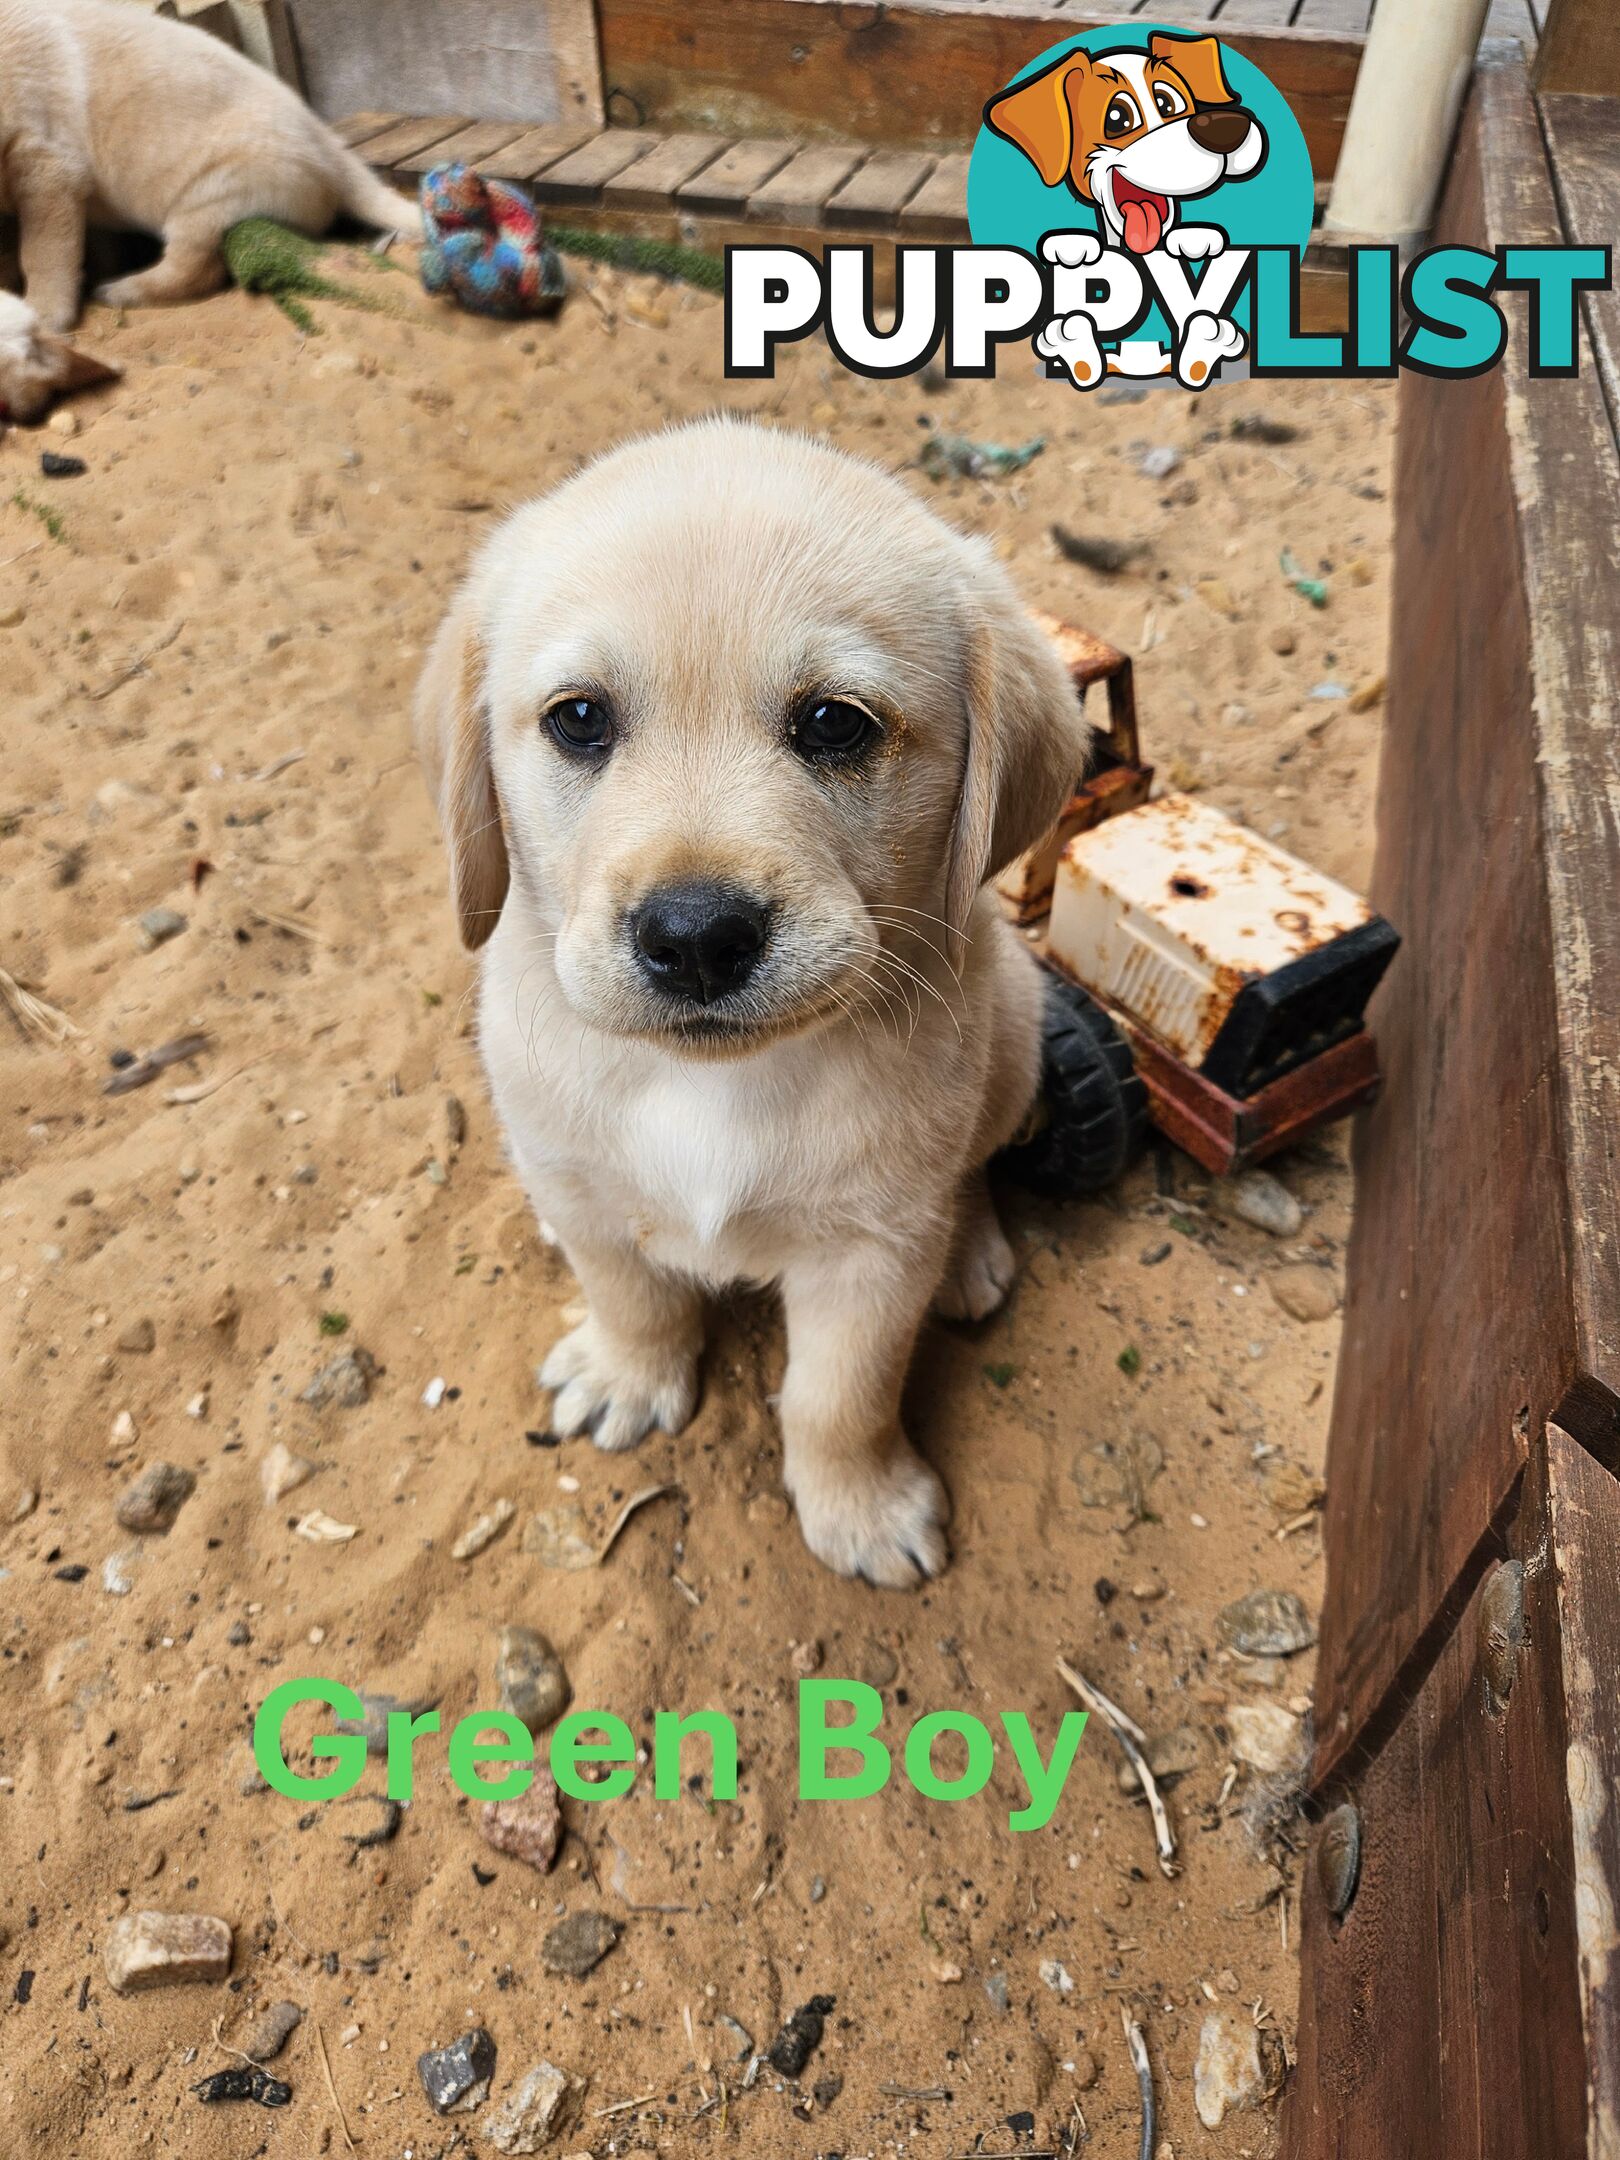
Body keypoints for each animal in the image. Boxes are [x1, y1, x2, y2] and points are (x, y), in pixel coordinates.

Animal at [0, 0, 425, 330]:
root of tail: (331, 149)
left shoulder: (44, 152)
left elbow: (43, 242)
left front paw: (41, 313)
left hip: (219, 182)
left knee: (194, 262)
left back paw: (124, 288)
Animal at [414, 421, 1092, 1589]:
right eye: (579, 720)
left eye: (835, 724)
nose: (694, 936)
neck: (709, 1087)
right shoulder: (578, 1183)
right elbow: (630, 1293)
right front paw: (628, 1375)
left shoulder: (872, 1255)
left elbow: (841, 1397)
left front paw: (862, 1507)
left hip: (1013, 1038)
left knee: (974, 1165)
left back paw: (968, 1251)